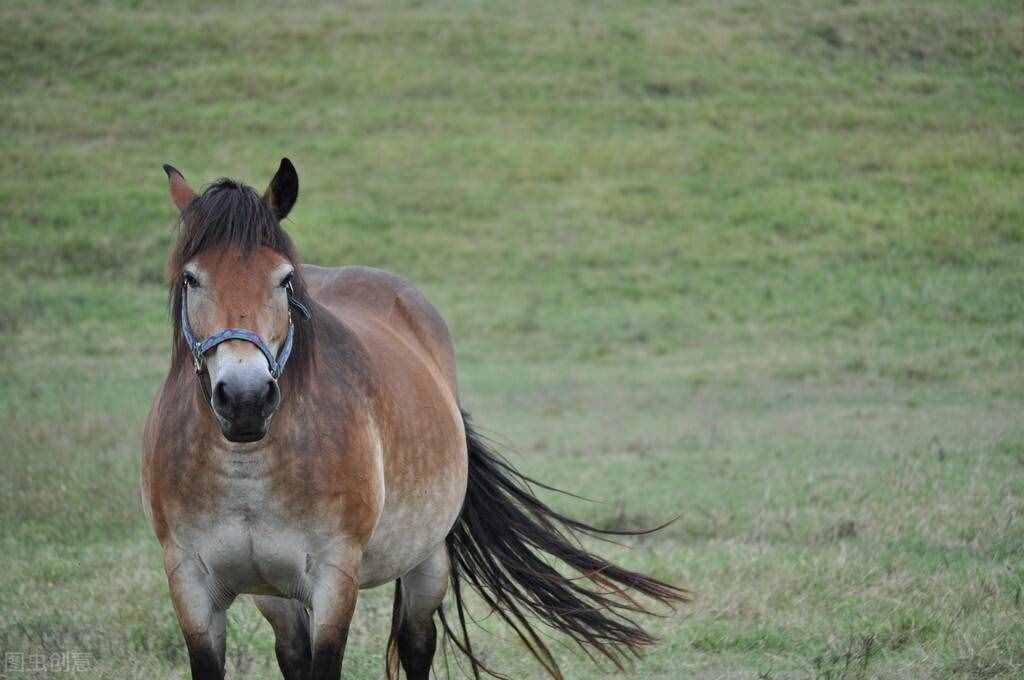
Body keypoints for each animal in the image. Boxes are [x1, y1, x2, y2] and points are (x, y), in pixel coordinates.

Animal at [140, 159, 688, 680]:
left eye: (284, 279)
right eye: (191, 278)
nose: (246, 397)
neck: (246, 470)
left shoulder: (334, 579)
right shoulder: (192, 585)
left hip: (427, 559)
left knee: (417, 644)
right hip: (273, 594)